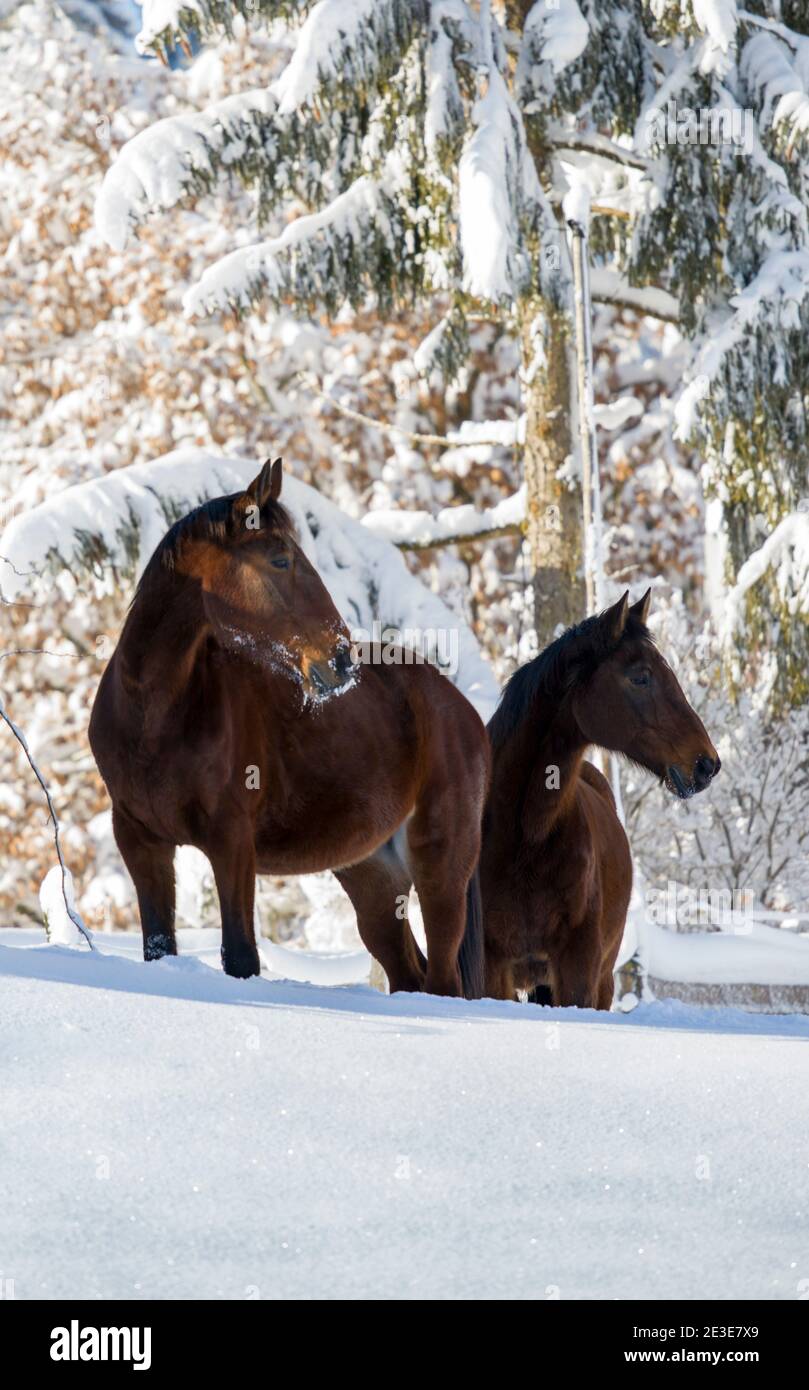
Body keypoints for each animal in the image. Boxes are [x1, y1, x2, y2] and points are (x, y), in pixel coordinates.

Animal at [88, 458, 490, 996]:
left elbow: (241, 957)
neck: (152, 718)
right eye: (280, 560)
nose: (341, 660)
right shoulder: (140, 841)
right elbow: (159, 948)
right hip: (372, 874)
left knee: (442, 979)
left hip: (440, 867)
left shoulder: (232, 842)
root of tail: (461, 708)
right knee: (408, 970)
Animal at [479, 589, 720, 1010]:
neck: (525, 839)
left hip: (599, 980)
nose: (707, 763)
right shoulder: (492, 969)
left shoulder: (578, 972)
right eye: (640, 677)